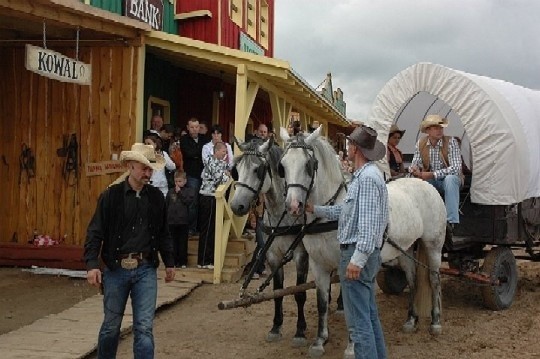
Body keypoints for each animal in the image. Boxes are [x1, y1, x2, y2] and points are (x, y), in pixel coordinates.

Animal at [229, 139, 312, 348]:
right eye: (236, 170)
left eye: (257, 169)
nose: (236, 206)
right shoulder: (273, 256)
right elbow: (277, 291)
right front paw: (276, 327)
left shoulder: (301, 255)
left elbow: (299, 293)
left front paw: (300, 331)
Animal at [278, 127, 448, 354]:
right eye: (283, 165)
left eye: (308, 165)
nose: (293, 206)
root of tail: (424, 183)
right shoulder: (318, 265)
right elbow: (322, 302)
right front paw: (320, 341)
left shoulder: (346, 267)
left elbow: (351, 307)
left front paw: (351, 347)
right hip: (405, 249)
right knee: (413, 280)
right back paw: (411, 320)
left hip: (434, 246)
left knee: (434, 279)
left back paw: (435, 322)